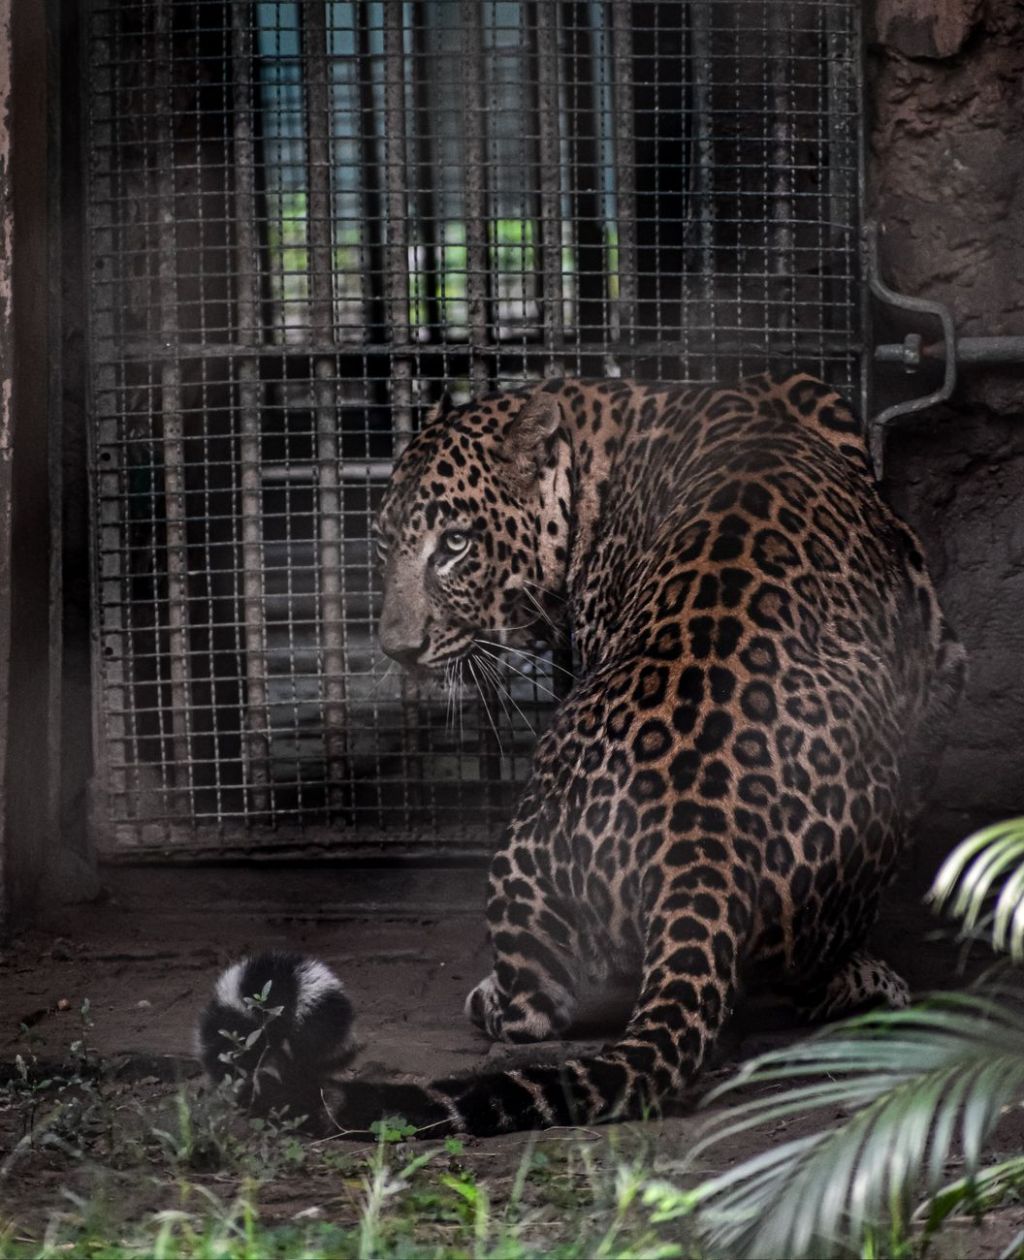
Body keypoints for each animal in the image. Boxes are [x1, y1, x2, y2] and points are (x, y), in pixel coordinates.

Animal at [199, 372, 965, 1137]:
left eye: (454, 544)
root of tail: (699, 843)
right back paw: (868, 979)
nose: (398, 650)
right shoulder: (941, 659)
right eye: (384, 547)